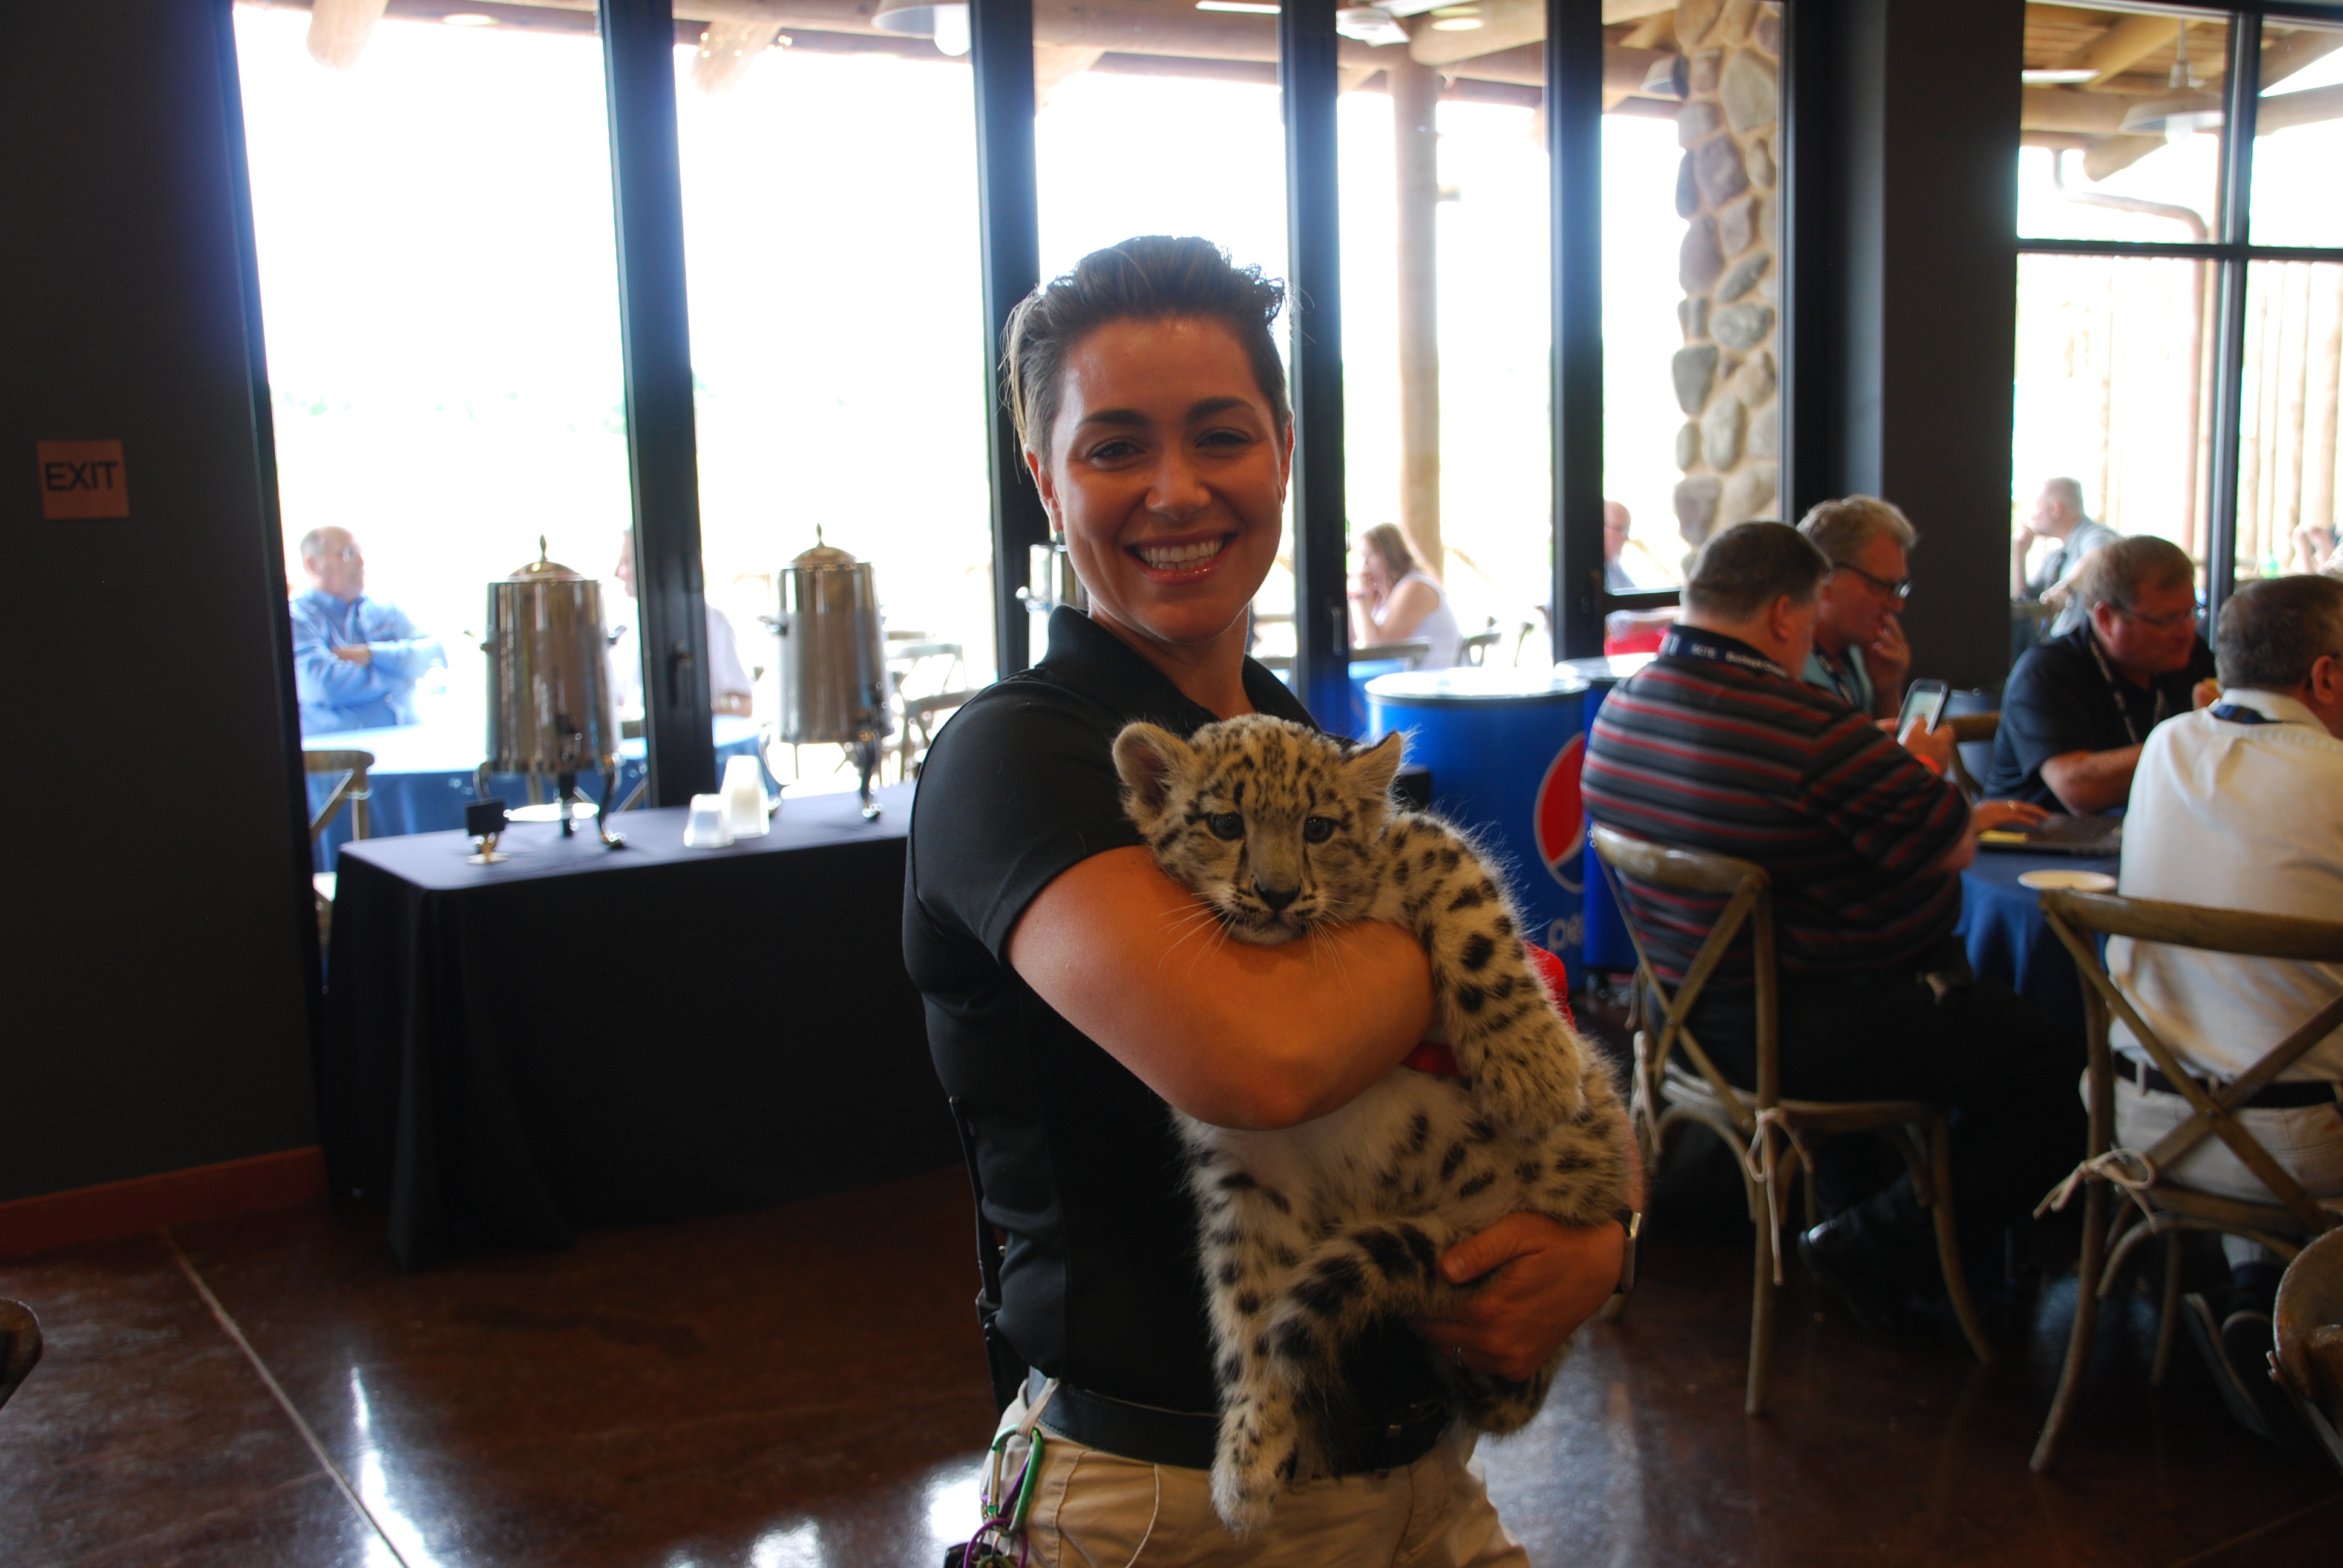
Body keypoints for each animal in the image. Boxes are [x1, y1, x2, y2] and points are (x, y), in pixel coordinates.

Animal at [1111, 712, 1635, 1533]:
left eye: (1318, 827)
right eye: (1225, 823)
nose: (1276, 893)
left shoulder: (1423, 844)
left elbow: (1475, 921)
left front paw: (1535, 1070)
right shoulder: (1253, 1175)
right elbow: (1246, 1309)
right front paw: (1248, 1459)